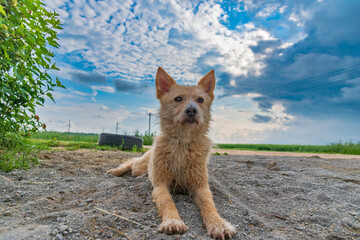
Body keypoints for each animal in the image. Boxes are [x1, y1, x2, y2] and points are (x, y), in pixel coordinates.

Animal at [107, 66, 236, 239]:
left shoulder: (200, 186)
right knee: (132, 163)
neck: (182, 142)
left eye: (200, 100)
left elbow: (208, 203)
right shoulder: (160, 184)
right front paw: (173, 221)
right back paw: (115, 171)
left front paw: (218, 224)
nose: (191, 110)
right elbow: (166, 201)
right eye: (178, 99)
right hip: (140, 166)